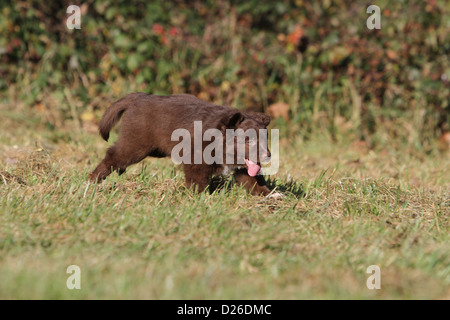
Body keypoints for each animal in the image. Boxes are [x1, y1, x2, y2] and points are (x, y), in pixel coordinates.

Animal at [89, 92, 276, 196]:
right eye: (249, 140)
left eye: (265, 138)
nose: (268, 155)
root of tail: (139, 96)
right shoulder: (196, 157)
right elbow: (197, 179)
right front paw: (200, 197)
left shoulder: (244, 166)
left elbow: (253, 179)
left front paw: (270, 195)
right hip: (137, 142)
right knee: (114, 154)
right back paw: (93, 180)